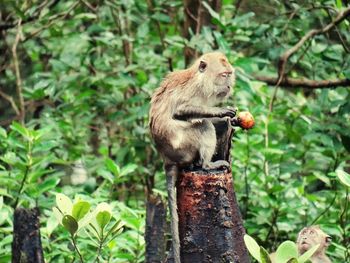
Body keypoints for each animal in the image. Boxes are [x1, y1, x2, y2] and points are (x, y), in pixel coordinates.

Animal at [149, 52, 237, 263]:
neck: (200, 78)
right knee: (203, 125)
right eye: (223, 75)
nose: (228, 86)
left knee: (214, 125)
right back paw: (206, 164)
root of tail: (166, 157)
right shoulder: (194, 91)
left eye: (229, 75)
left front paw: (230, 120)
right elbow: (182, 110)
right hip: (182, 146)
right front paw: (221, 111)